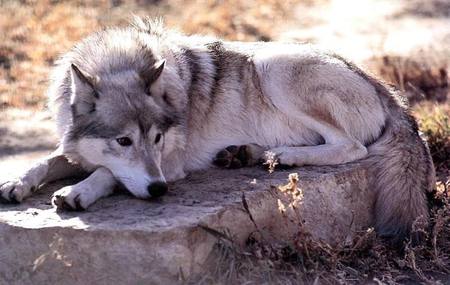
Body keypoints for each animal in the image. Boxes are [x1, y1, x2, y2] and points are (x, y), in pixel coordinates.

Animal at [0, 17, 436, 241]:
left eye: (157, 139)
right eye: (123, 140)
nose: (159, 191)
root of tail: (385, 88)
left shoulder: (170, 165)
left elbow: (107, 172)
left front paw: (77, 192)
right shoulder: (73, 145)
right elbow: (48, 160)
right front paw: (16, 183)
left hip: (272, 66)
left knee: (352, 148)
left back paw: (280, 156)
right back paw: (247, 154)